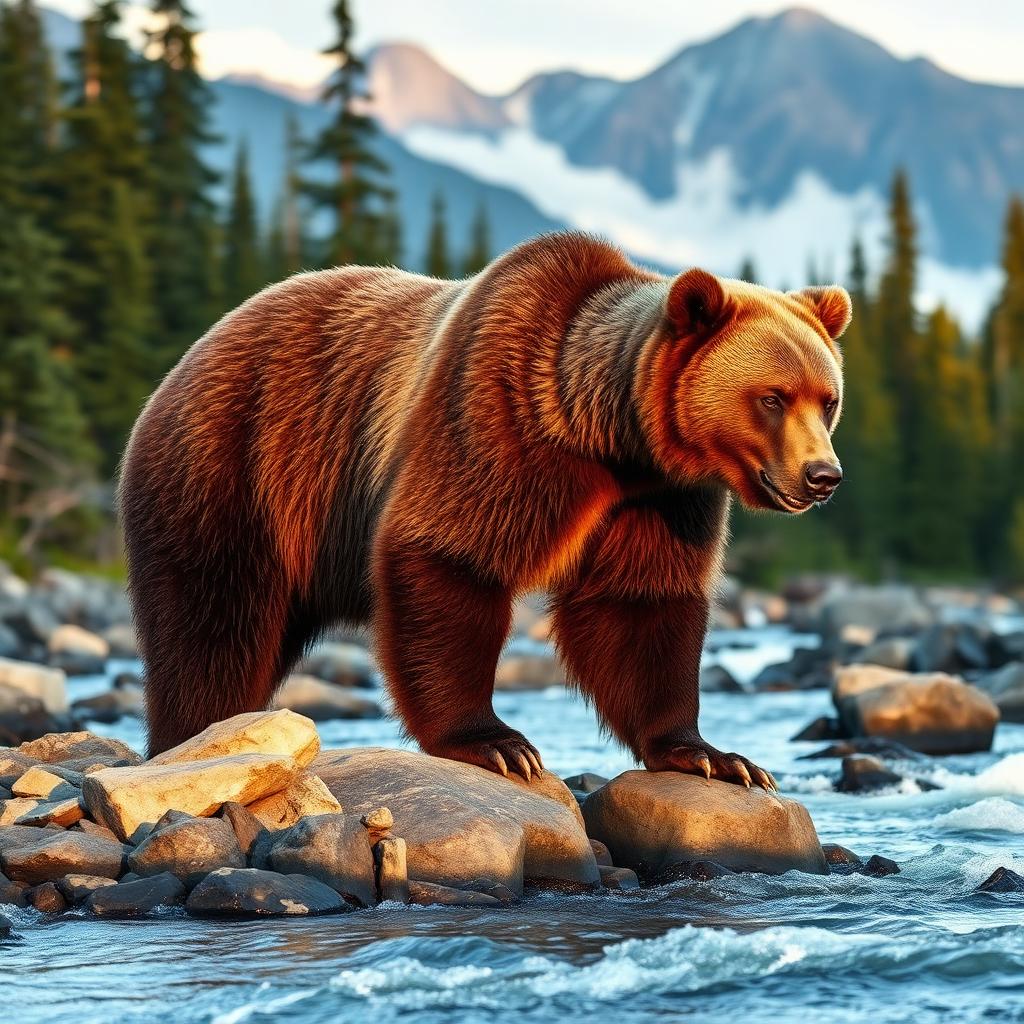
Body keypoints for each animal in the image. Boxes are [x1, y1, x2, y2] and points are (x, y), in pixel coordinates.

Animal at [119, 232, 849, 789]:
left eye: (828, 398)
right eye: (773, 397)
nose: (823, 476)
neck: (608, 436)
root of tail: (186, 359)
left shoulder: (660, 498)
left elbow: (642, 604)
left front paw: (715, 757)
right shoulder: (496, 419)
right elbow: (450, 557)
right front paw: (497, 743)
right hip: (237, 471)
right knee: (213, 627)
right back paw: (194, 737)